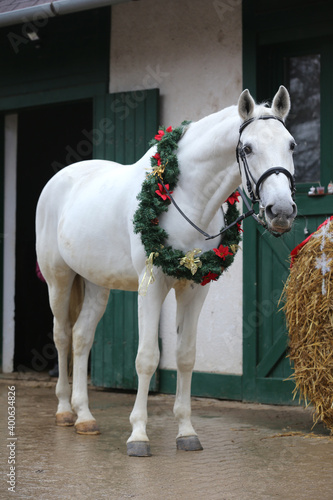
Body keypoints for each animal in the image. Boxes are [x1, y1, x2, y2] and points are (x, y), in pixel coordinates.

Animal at [36, 87, 296, 458]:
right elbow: (147, 358)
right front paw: (138, 436)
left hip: (97, 284)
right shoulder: (153, 284)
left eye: (291, 144)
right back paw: (63, 410)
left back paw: (84, 416)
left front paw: (186, 432)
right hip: (58, 279)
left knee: (82, 337)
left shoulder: (196, 287)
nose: (282, 212)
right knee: (61, 335)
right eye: (247, 148)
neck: (185, 197)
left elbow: (186, 356)